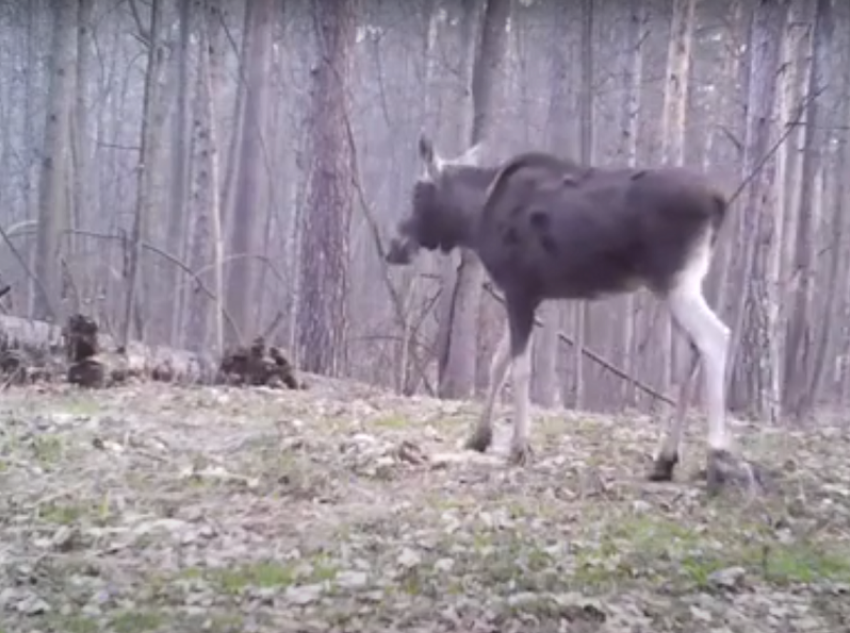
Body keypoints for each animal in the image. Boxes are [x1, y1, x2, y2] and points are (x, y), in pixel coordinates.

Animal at [384, 136, 756, 496]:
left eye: (418, 192)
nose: (393, 247)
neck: (475, 220)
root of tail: (720, 202)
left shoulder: (519, 290)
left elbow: (519, 370)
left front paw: (519, 446)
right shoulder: (534, 296)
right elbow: (497, 363)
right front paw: (479, 436)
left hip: (676, 281)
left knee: (715, 337)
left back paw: (718, 456)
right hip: (672, 286)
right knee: (686, 359)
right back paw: (664, 460)